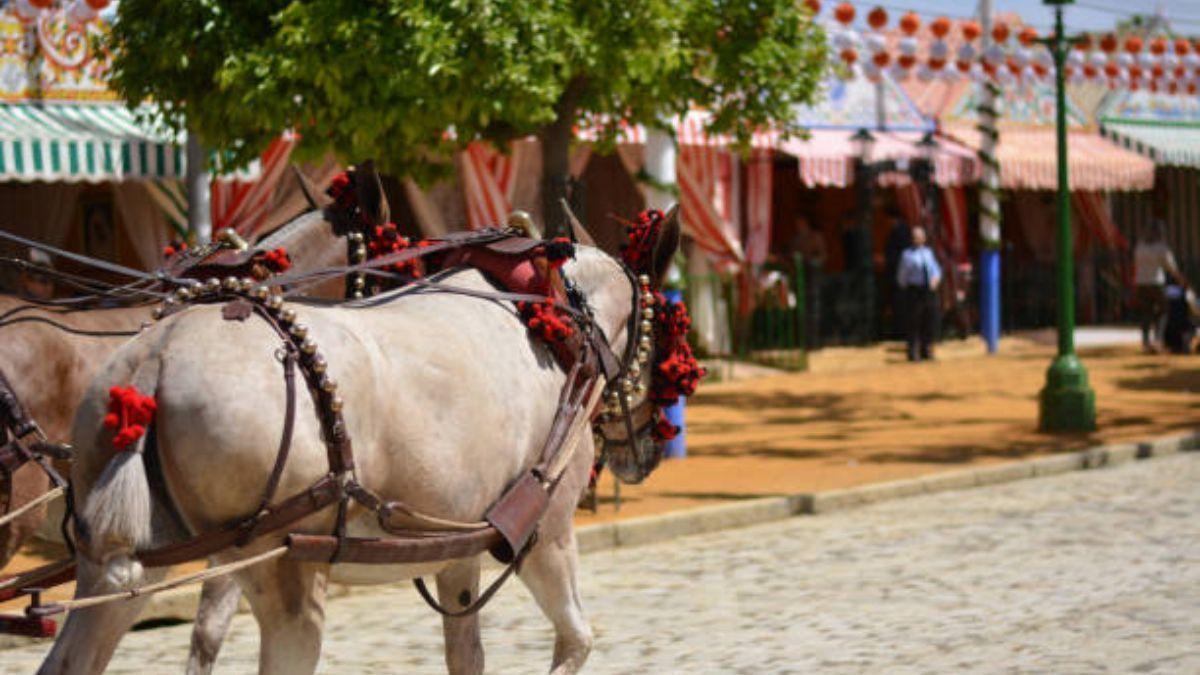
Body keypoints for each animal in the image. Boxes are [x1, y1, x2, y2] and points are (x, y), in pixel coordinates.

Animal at [42, 196, 681, 667]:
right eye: (665, 339)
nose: (650, 450)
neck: (557, 320)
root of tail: (155, 361)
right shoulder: (543, 534)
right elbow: (577, 639)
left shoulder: (457, 552)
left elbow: (467, 655)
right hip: (284, 571)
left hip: (126, 565)